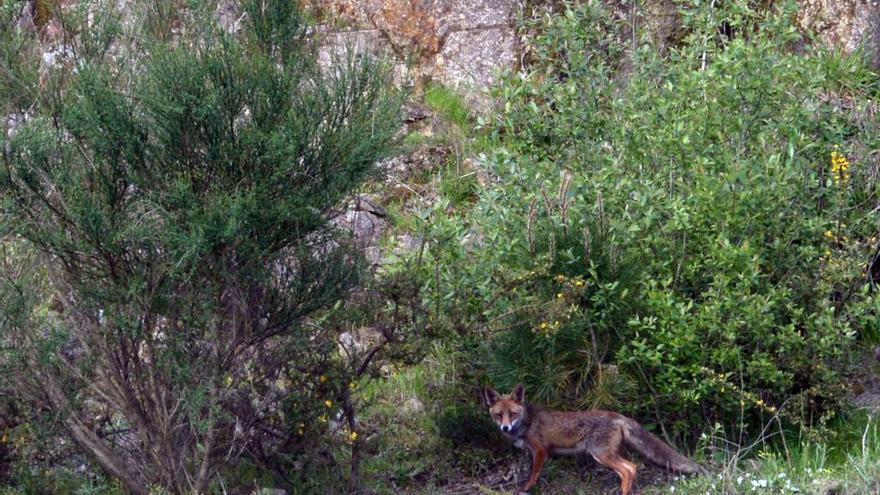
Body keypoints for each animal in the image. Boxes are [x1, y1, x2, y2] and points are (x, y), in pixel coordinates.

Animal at [484, 384, 704, 495]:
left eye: (512, 414)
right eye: (499, 415)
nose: (505, 427)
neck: (528, 421)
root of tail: (617, 415)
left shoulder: (540, 450)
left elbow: (532, 474)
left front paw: (524, 489)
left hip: (600, 454)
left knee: (629, 469)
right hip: (608, 454)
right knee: (630, 468)